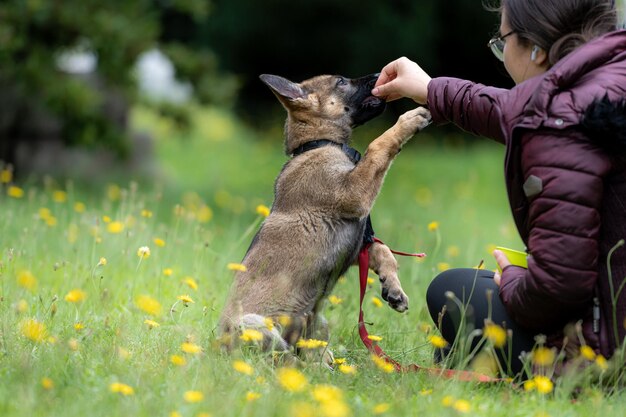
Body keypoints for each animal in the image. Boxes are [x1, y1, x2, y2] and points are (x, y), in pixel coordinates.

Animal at [219, 73, 428, 362]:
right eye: (341, 81)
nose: (379, 75)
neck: (318, 144)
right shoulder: (354, 194)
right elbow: (378, 145)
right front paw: (408, 120)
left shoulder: (359, 247)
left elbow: (383, 250)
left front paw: (394, 288)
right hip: (254, 325)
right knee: (282, 357)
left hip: (318, 322)